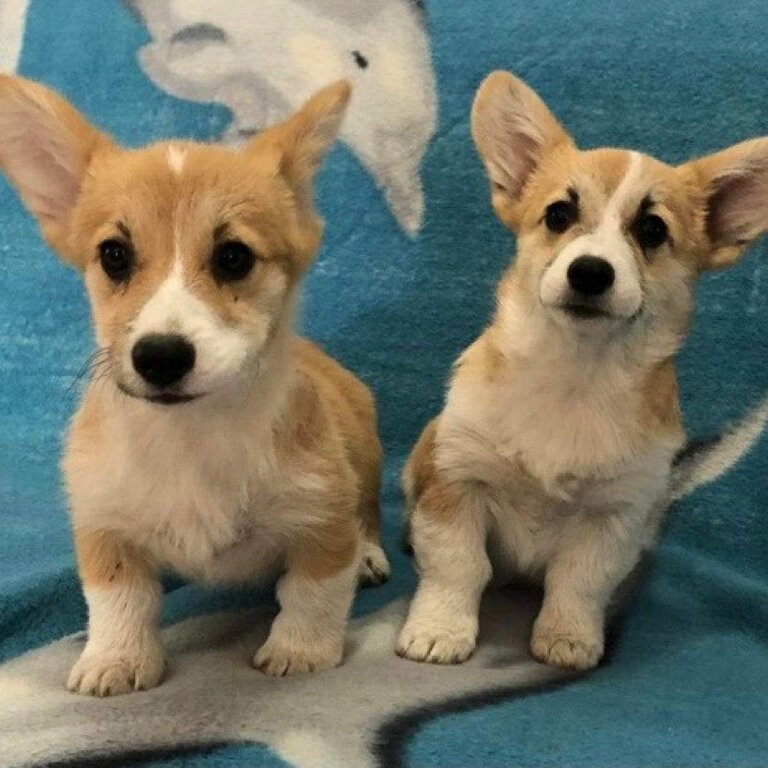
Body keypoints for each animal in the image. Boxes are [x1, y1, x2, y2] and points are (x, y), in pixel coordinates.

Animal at [0, 76, 392, 696]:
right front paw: (116, 658)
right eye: (114, 255)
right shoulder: (104, 524)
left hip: (368, 458)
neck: (191, 433)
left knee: (369, 511)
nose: (160, 356)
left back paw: (371, 555)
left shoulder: (322, 517)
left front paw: (300, 651)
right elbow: (118, 599)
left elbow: (314, 593)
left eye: (233, 257)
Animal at [396, 73, 768, 672]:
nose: (590, 271)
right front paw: (439, 630)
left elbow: (579, 583)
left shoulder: (613, 516)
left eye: (651, 229)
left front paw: (568, 638)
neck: (574, 375)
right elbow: (458, 567)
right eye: (558, 216)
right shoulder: (458, 482)